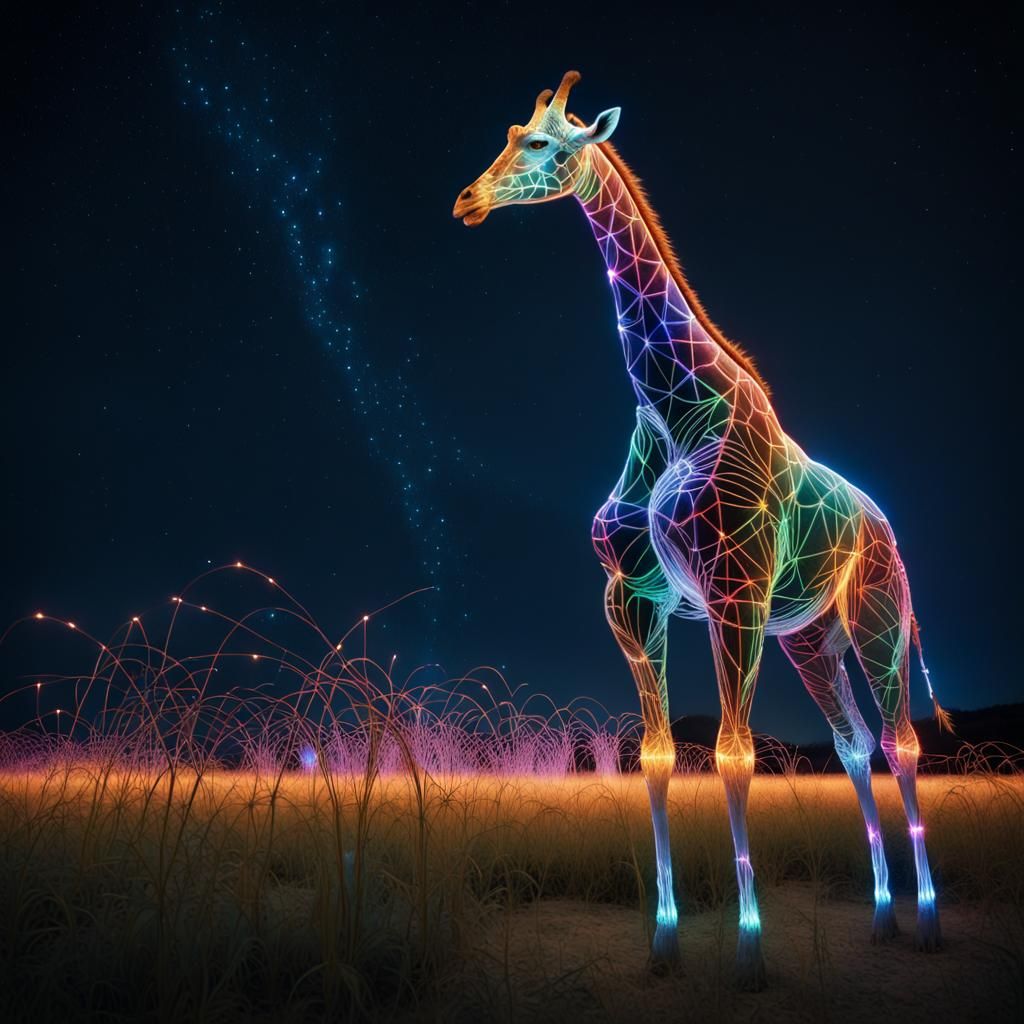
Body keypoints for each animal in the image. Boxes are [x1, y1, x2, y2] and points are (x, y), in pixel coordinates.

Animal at [453, 71, 950, 990]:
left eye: (541, 144)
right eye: (506, 133)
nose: (468, 200)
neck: (676, 409)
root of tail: (885, 525)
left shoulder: (733, 591)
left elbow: (732, 752)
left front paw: (749, 954)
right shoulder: (632, 598)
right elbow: (657, 756)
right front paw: (663, 944)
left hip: (876, 616)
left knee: (901, 742)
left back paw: (930, 924)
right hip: (809, 637)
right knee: (854, 743)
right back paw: (884, 920)